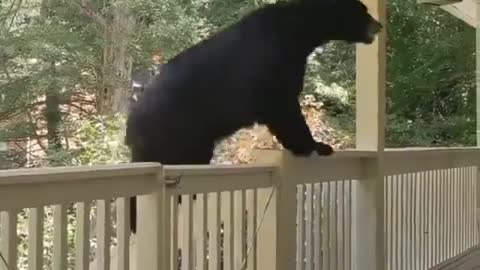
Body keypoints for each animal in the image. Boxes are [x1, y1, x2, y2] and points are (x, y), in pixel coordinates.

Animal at [124, 0, 382, 234]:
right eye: (363, 10)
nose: (378, 25)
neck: (300, 31)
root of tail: (133, 125)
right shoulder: (274, 65)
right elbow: (284, 109)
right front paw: (315, 145)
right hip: (176, 133)